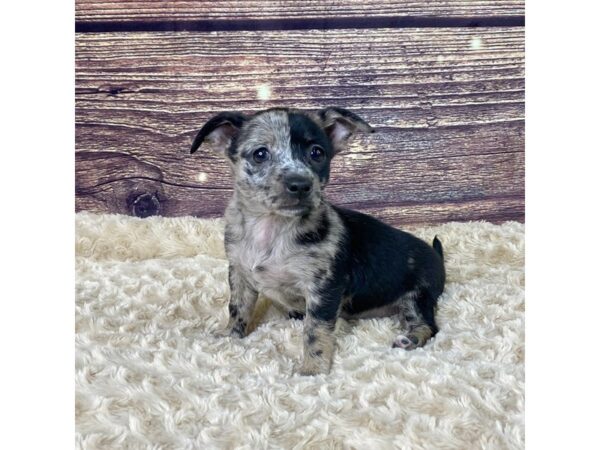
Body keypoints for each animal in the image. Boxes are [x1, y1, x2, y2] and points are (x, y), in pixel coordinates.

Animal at [191, 107, 446, 374]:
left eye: (317, 153)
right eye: (260, 154)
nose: (300, 184)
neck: (272, 228)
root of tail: (436, 255)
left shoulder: (323, 289)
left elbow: (315, 331)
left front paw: (313, 369)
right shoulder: (239, 273)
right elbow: (238, 307)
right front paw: (230, 336)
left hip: (418, 296)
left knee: (429, 326)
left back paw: (411, 338)